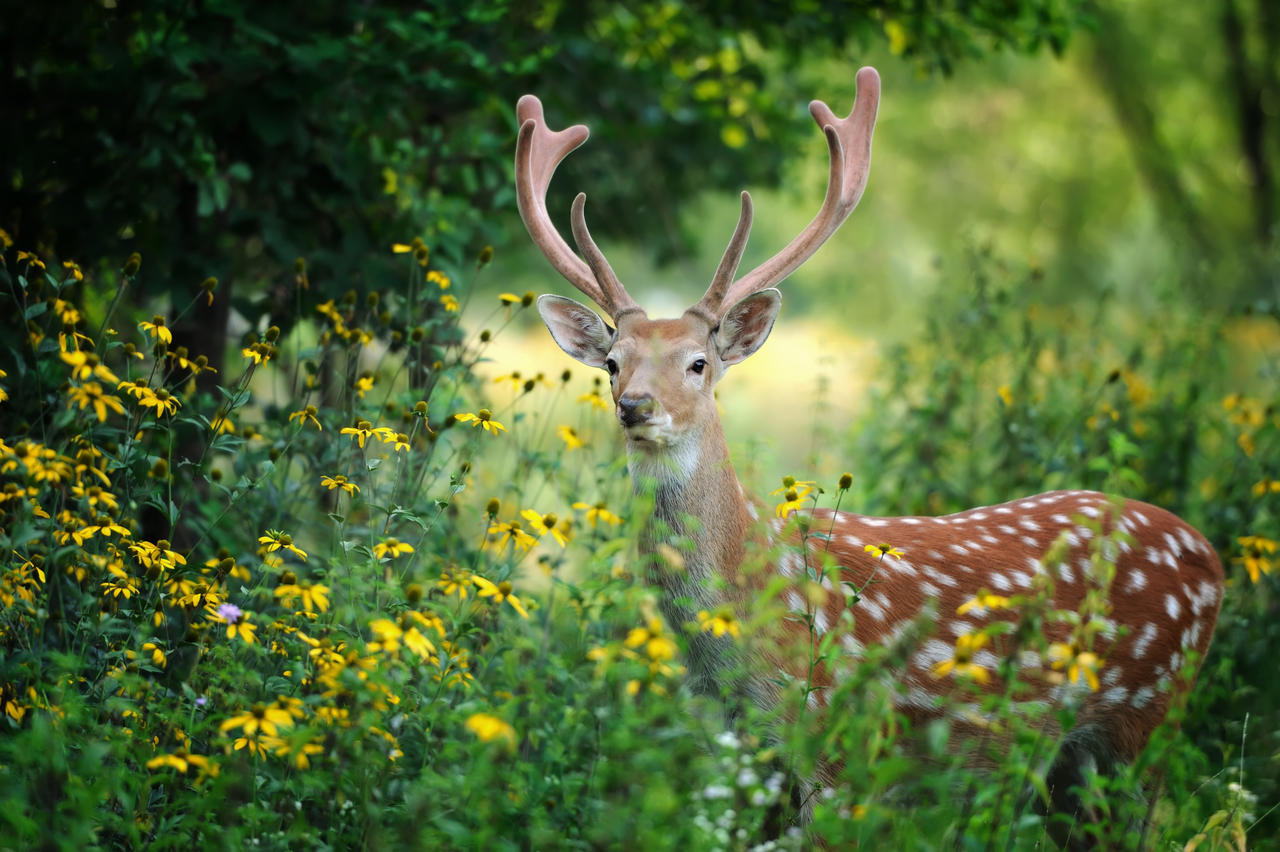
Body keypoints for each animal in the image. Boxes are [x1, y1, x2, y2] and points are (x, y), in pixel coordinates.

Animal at [514, 68, 1223, 844]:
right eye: (612, 362)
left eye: (699, 362)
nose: (636, 406)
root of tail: (1211, 556)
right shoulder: (741, 762)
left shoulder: (840, 749)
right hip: (1069, 767)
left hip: (1145, 725)